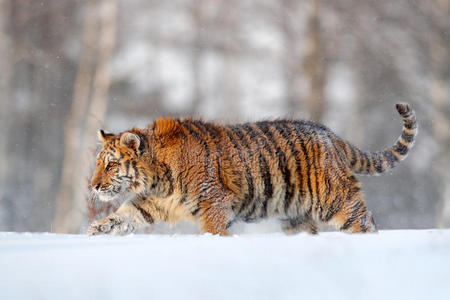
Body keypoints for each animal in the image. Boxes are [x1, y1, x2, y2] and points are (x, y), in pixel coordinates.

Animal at [88, 104, 418, 236]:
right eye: (99, 164)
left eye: (111, 164)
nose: (94, 186)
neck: (155, 180)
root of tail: (330, 133)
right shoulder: (151, 204)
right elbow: (124, 216)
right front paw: (97, 229)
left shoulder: (215, 204)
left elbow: (215, 232)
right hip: (296, 215)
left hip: (336, 201)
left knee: (365, 223)